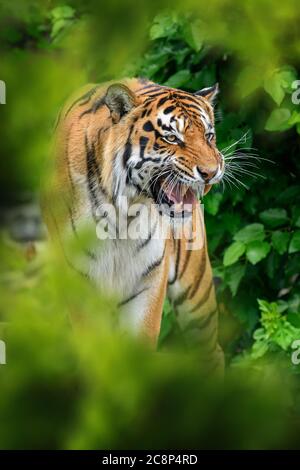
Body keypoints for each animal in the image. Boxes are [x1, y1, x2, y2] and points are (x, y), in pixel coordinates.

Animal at [42, 78, 225, 374]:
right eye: (171, 138)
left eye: (209, 135)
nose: (211, 172)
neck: (123, 213)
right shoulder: (81, 285)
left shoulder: (148, 282)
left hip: (196, 291)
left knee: (212, 353)